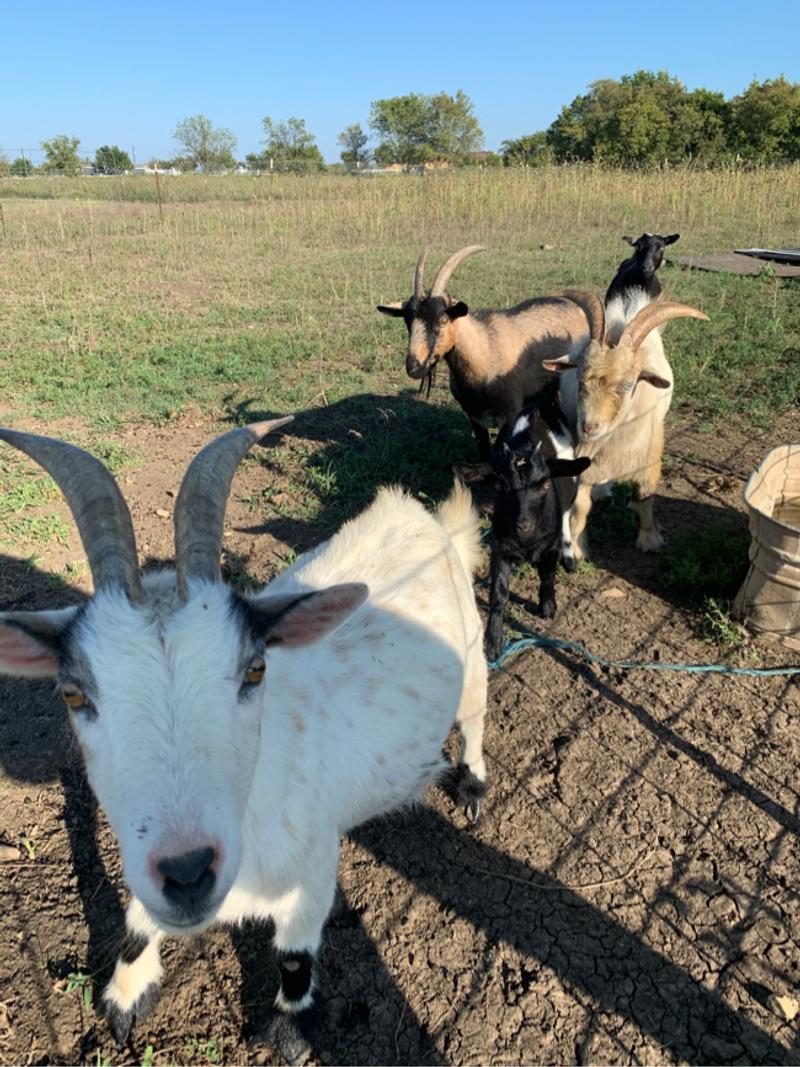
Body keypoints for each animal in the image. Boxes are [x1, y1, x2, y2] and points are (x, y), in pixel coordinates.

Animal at [0, 422, 488, 1065]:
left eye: (255, 669)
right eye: (73, 693)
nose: (187, 874)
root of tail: (422, 517)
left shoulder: (313, 869)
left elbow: (295, 956)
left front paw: (288, 1030)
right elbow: (135, 924)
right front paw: (126, 995)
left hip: (473, 658)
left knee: (476, 717)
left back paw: (473, 785)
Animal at [377, 247, 591, 461]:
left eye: (442, 319)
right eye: (407, 321)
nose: (414, 366)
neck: (485, 350)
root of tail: (572, 304)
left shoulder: (511, 410)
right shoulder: (474, 414)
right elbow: (484, 450)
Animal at [543, 290, 708, 561]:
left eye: (629, 385)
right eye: (579, 379)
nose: (589, 427)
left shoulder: (648, 464)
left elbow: (644, 500)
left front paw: (650, 542)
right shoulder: (584, 467)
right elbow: (579, 508)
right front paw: (577, 550)